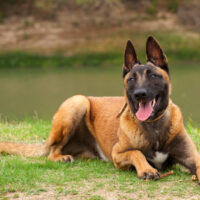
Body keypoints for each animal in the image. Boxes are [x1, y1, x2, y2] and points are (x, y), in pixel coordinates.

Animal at [0, 36, 200, 184]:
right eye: (131, 79)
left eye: (152, 76)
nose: (139, 94)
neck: (154, 127)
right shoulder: (118, 154)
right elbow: (136, 152)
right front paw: (147, 169)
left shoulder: (191, 155)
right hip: (78, 102)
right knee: (52, 150)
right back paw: (60, 157)